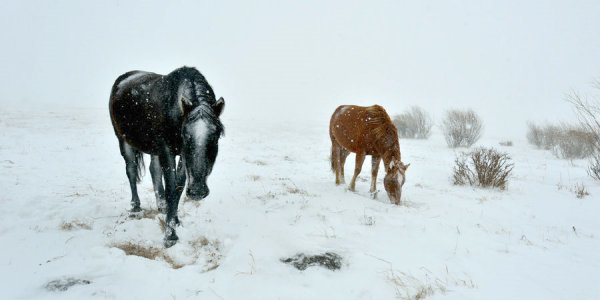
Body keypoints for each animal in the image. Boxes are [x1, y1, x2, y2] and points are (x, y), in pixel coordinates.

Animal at [109, 67, 225, 247]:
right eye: (186, 136)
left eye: (215, 136)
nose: (197, 191)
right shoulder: (167, 151)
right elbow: (171, 186)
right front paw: (170, 235)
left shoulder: (182, 156)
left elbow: (178, 186)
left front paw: (175, 220)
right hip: (123, 140)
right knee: (131, 171)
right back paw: (135, 208)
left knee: (154, 170)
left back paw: (162, 205)